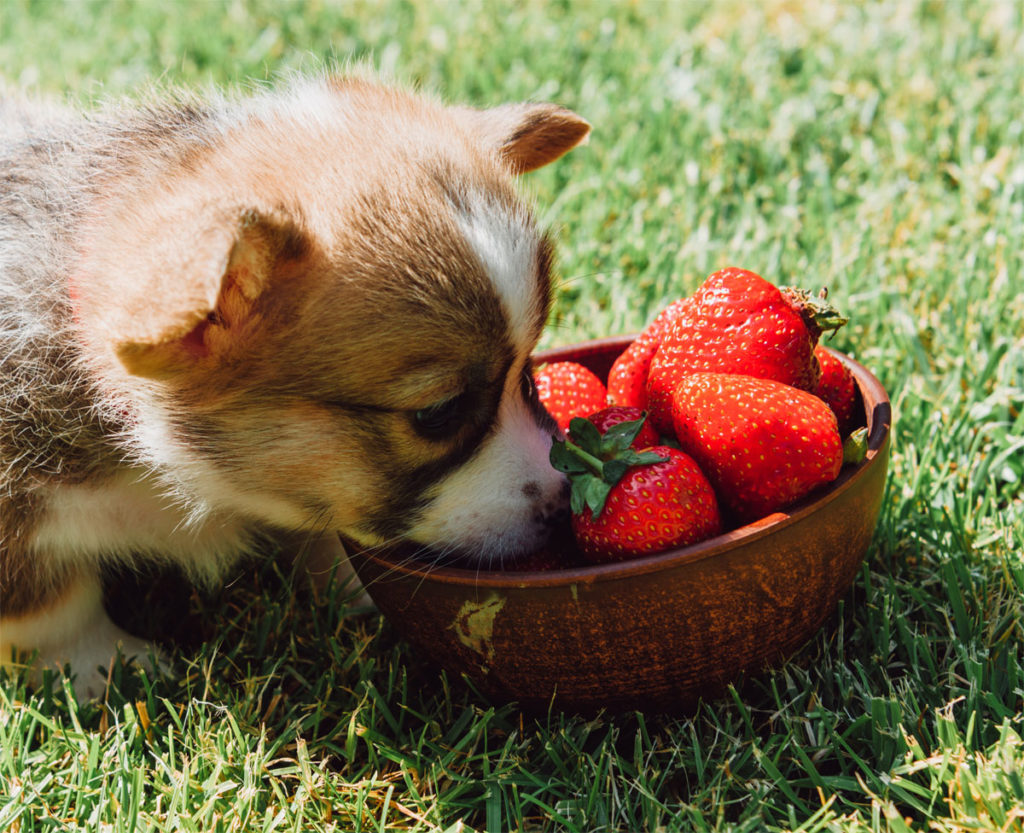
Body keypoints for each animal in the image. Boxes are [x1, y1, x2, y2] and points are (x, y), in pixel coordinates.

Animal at [0, 73, 589, 696]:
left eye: (529, 373)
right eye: (438, 414)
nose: (563, 501)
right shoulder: (17, 517)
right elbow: (53, 609)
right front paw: (106, 670)